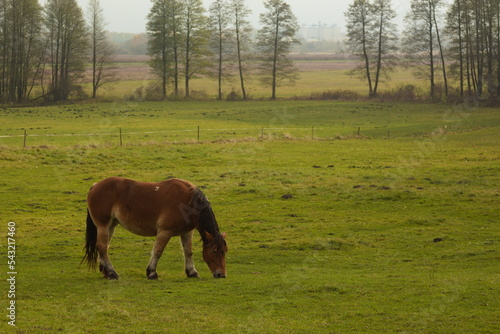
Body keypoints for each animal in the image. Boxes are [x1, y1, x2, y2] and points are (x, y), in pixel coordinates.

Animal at [82, 176, 229, 280]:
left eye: (225, 251)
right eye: (214, 251)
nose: (221, 274)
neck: (188, 201)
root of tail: (95, 185)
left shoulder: (187, 232)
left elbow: (188, 252)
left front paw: (192, 272)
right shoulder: (165, 232)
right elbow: (158, 251)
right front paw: (152, 272)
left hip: (111, 226)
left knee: (104, 247)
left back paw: (106, 271)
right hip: (103, 225)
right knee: (102, 247)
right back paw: (112, 273)